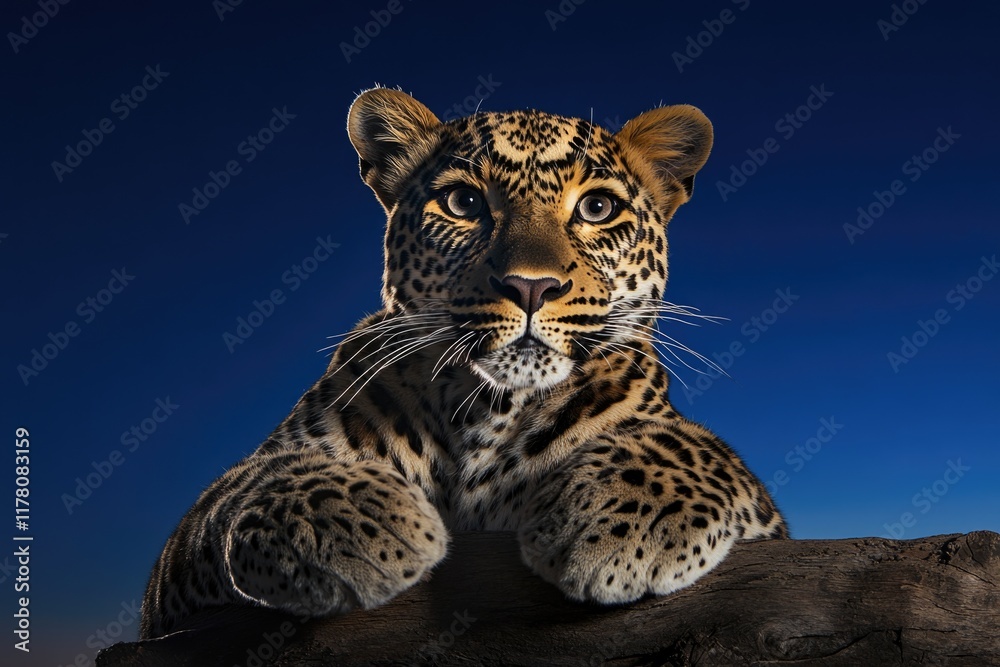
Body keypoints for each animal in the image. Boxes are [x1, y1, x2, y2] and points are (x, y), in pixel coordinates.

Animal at [139, 86, 787, 640]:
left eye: (598, 208)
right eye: (464, 202)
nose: (532, 286)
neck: (488, 407)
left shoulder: (763, 519)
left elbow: (697, 446)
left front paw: (619, 524)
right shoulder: (169, 590)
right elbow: (242, 486)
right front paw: (358, 522)